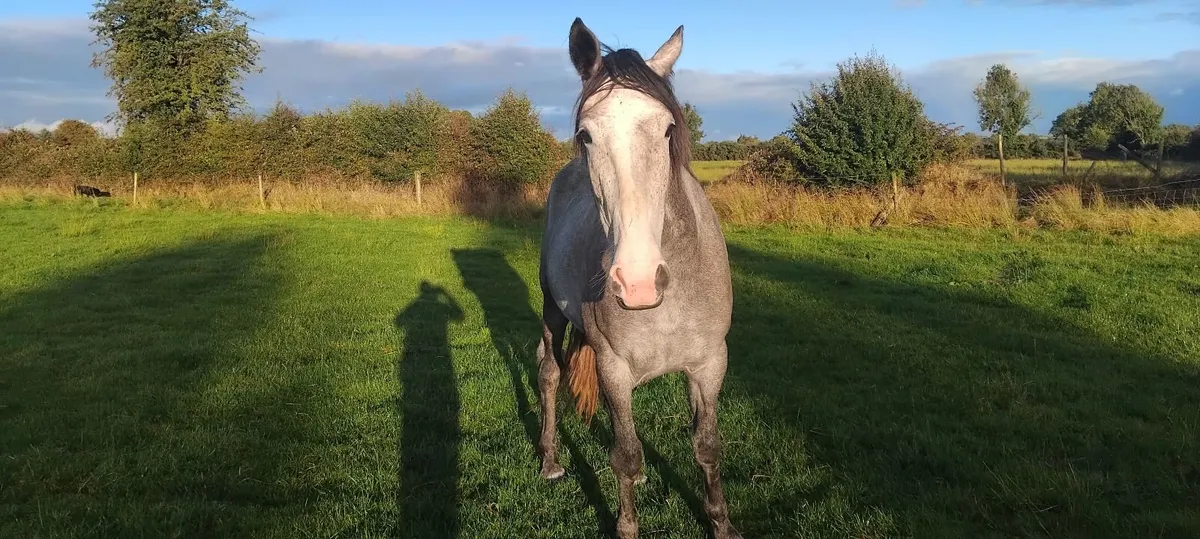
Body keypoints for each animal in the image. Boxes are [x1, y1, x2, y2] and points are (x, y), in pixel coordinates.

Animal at [535, 18, 741, 539]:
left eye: (667, 129)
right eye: (586, 135)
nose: (639, 281)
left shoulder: (710, 365)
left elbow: (707, 447)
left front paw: (721, 523)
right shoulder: (614, 368)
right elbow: (625, 456)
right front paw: (627, 525)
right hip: (551, 309)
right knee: (549, 373)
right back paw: (549, 461)